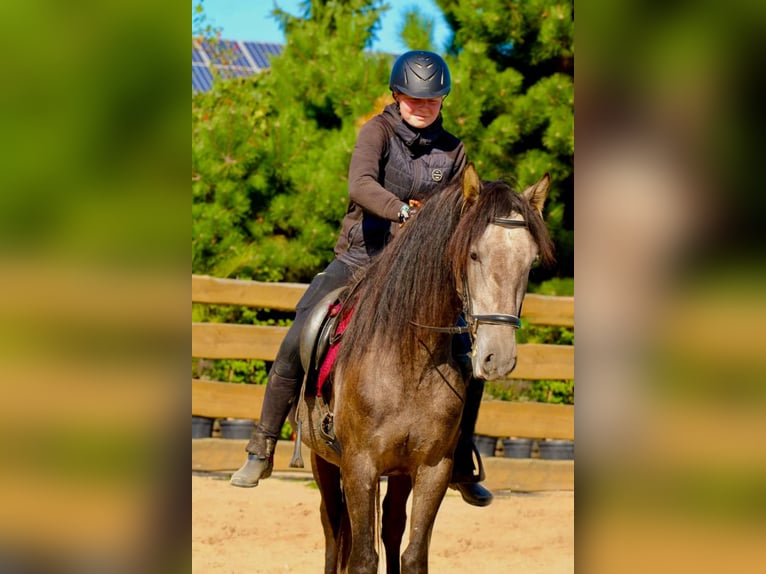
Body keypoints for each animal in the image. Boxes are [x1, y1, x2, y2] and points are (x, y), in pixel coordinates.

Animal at [295, 163, 555, 573]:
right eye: (474, 255)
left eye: (530, 262)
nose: (497, 357)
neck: (408, 363)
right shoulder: (359, 466)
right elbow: (362, 559)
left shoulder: (433, 468)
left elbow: (413, 554)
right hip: (325, 462)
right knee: (334, 533)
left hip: (400, 473)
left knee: (391, 526)